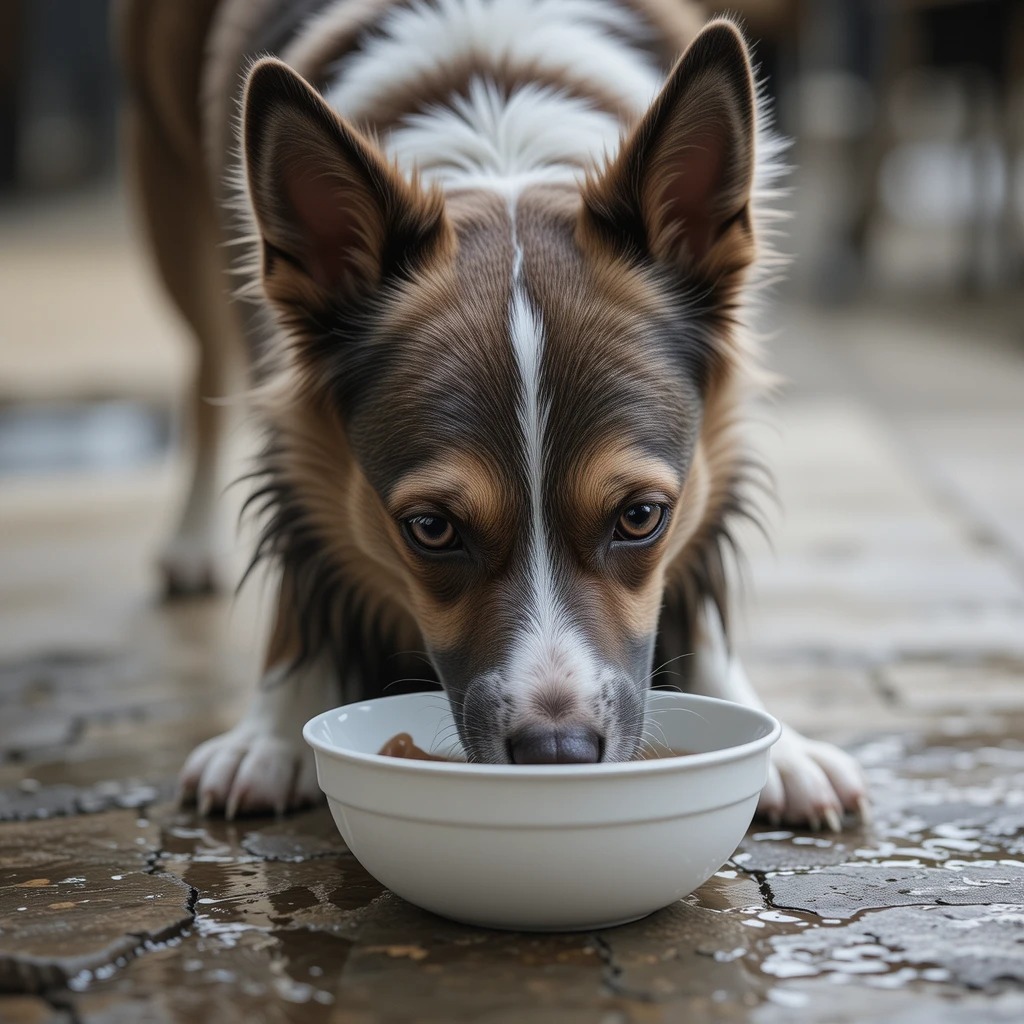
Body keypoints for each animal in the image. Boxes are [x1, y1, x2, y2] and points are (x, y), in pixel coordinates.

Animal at [117, 0, 864, 827]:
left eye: (641, 517)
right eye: (432, 529)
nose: (557, 753)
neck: (501, 143)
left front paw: (780, 747)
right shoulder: (290, 401)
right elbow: (304, 566)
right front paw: (271, 732)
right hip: (177, 219)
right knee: (200, 379)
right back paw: (190, 542)